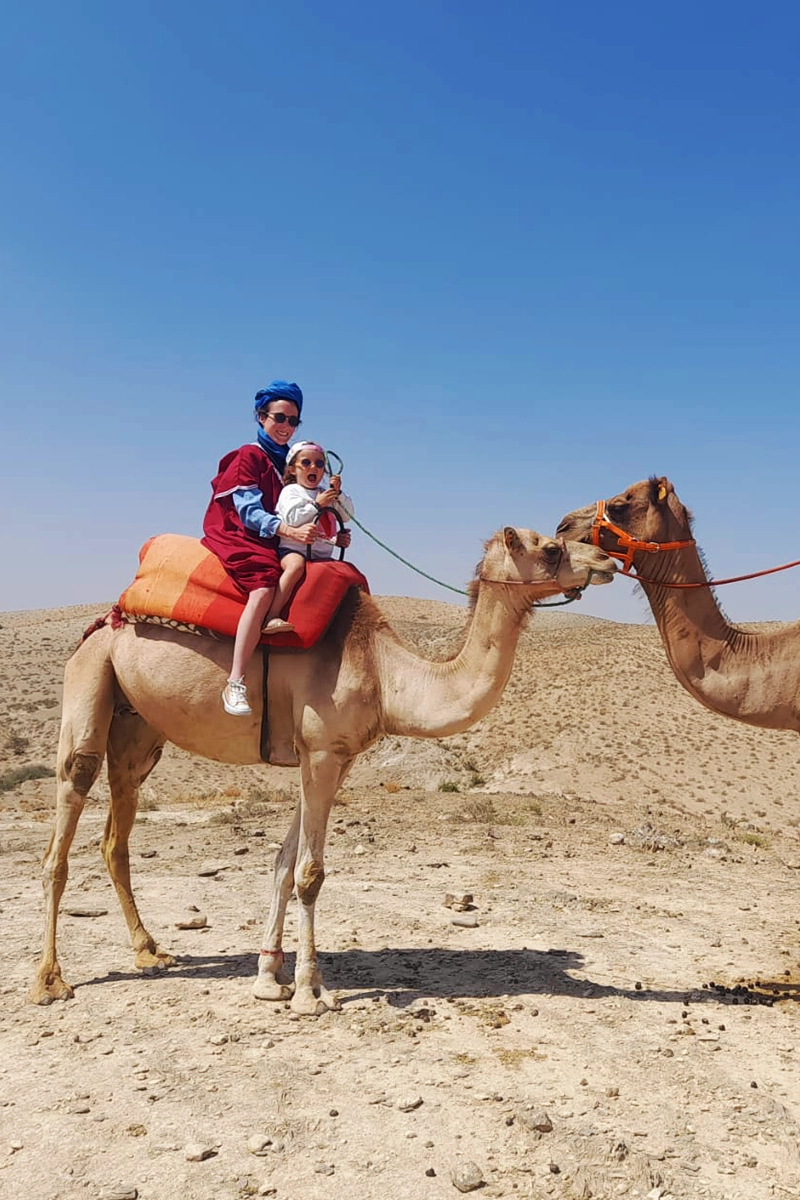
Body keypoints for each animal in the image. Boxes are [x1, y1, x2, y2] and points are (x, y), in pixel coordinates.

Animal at [30, 527, 615, 1015]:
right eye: (550, 546)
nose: (606, 559)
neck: (384, 672)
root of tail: (106, 620)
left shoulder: (335, 756)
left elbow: (284, 863)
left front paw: (269, 978)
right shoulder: (321, 752)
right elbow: (310, 874)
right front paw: (310, 992)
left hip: (137, 728)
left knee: (117, 831)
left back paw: (151, 952)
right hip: (89, 677)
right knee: (64, 821)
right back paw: (49, 981)